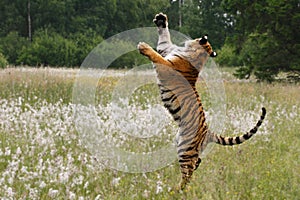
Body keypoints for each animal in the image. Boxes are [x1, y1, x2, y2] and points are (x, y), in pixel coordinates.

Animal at [137, 12, 266, 191]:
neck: (198, 53)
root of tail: (209, 133)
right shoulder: (167, 50)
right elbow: (164, 40)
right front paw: (162, 20)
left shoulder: (167, 65)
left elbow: (157, 56)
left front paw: (143, 46)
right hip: (185, 146)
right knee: (197, 163)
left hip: (185, 150)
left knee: (188, 172)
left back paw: (177, 190)